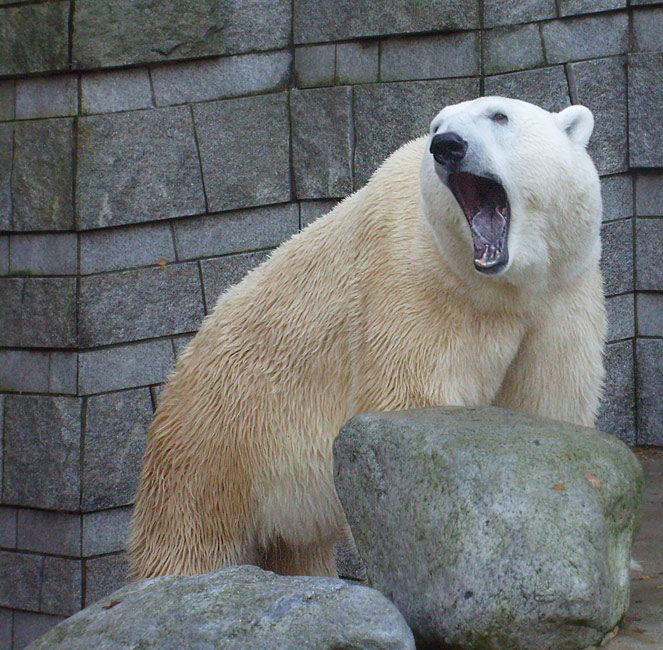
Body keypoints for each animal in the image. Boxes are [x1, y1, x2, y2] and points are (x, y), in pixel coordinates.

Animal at [130, 97, 608, 576]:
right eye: (436, 125)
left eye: (499, 116)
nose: (447, 146)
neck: (500, 287)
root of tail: (180, 368)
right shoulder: (415, 288)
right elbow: (411, 403)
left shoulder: (560, 298)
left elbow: (549, 401)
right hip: (218, 443)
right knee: (189, 542)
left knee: (296, 549)